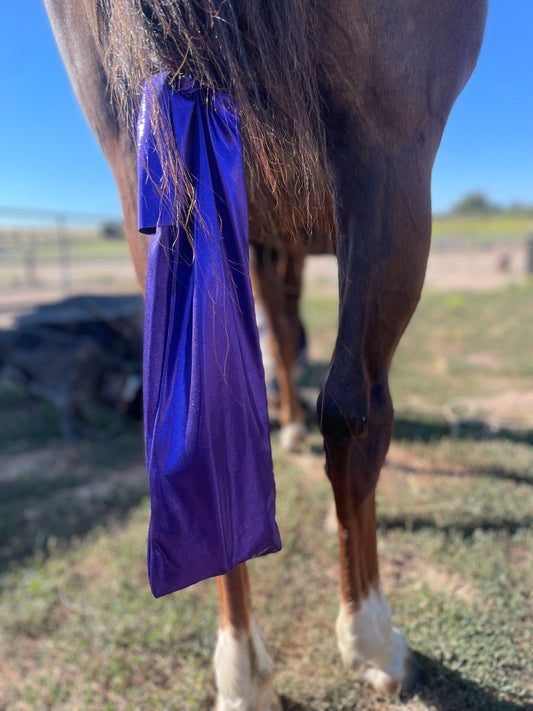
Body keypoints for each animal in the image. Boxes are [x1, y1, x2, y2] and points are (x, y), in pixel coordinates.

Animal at [44, 2, 486, 708]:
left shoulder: (269, 239)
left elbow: (278, 335)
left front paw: (289, 428)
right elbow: (312, 364)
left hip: (140, 166)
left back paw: (241, 670)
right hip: (389, 163)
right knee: (355, 412)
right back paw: (372, 639)